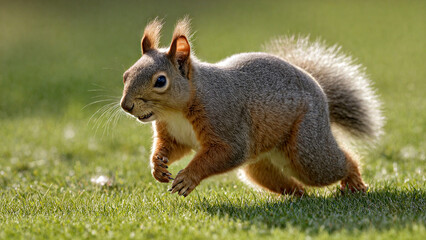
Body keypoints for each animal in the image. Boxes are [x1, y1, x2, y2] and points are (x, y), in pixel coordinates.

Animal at [119, 18, 382, 197]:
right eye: (126, 74)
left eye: (160, 81)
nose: (126, 106)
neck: (176, 112)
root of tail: (322, 96)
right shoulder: (173, 134)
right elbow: (170, 148)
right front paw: (158, 166)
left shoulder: (224, 121)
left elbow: (225, 153)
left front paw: (188, 178)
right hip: (259, 165)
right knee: (280, 181)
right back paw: (299, 196)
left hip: (306, 150)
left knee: (335, 163)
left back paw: (354, 181)